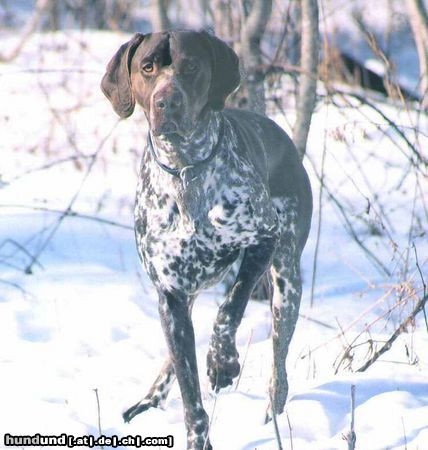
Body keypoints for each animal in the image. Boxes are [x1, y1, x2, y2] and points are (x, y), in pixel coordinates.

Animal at [102, 29, 312, 448]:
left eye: (191, 67)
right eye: (147, 67)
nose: (167, 101)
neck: (186, 171)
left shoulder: (262, 240)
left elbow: (229, 309)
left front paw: (222, 362)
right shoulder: (170, 293)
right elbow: (190, 392)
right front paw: (196, 435)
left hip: (286, 282)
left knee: (279, 366)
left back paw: (273, 414)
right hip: (186, 296)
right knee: (175, 358)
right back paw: (150, 399)